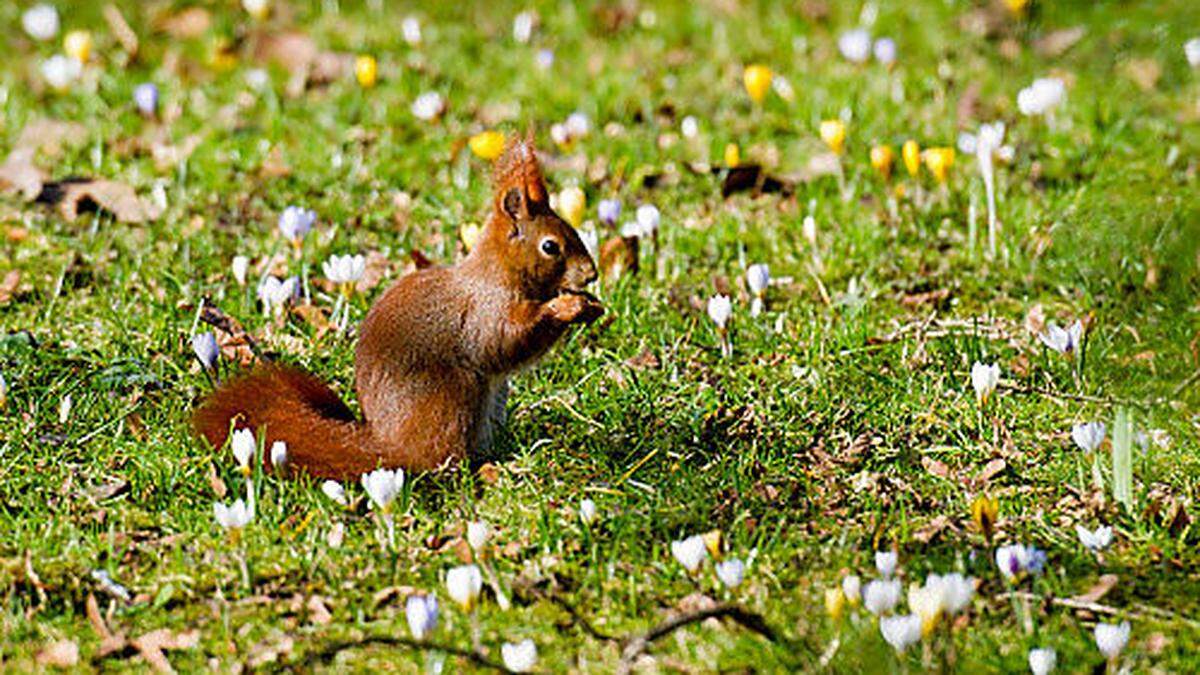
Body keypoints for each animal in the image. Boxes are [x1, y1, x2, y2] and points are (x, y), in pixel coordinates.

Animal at [193, 133, 604, 475]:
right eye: (550, 246)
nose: (591, 274)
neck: (498, 274)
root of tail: (391, 446)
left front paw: (591, 305)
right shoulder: (484, 313)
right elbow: (503, 342)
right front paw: (566, 308)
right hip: (454, 396)